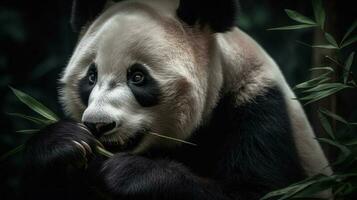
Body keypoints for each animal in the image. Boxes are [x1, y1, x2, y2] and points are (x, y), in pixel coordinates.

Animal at [21, 0, 330, 200]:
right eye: (91, 76)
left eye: (138, 77)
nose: (99, 125)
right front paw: (63, 143)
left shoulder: (258, 109)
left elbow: (257, 191)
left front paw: (128, 174)